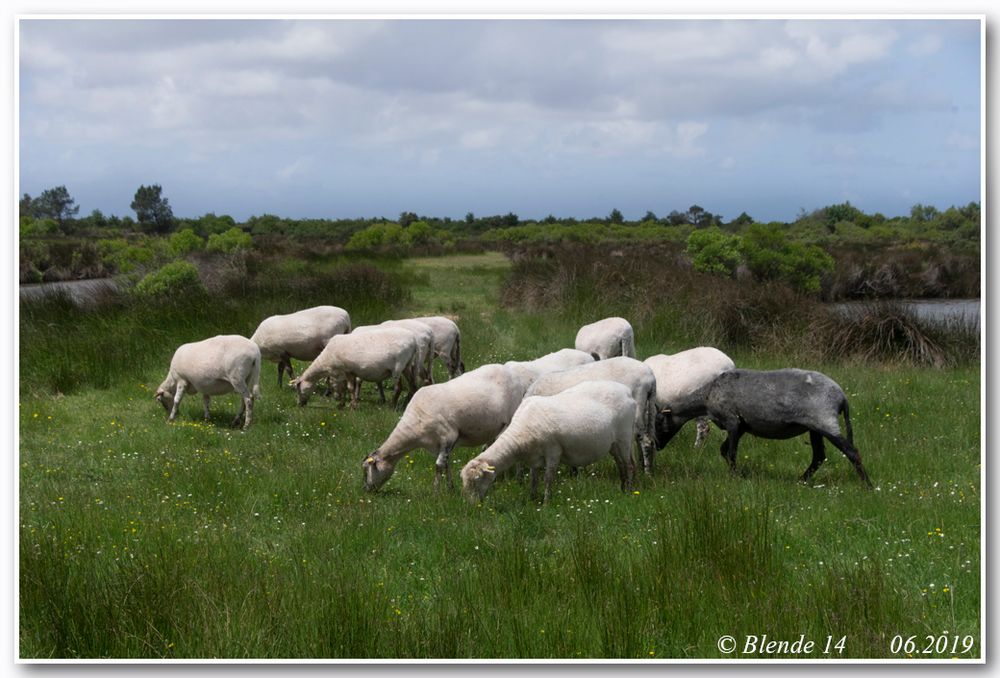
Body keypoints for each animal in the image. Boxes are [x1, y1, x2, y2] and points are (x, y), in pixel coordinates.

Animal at [364, 366, 528, 494]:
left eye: (366, 470)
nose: (366, 490)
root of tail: (513, 376)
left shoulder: (448, 436)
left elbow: (438, 466)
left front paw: (436, 492)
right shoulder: (441, 444)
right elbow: (446, 464)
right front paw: (450, 488)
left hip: (511, 419)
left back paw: (517, 478)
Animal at [458, 382, 632, 504]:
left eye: (477, 480)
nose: (472, 506)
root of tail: (626, 391)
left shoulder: (553, 451)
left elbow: (548, 478)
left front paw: (547, 503)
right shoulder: (534, 457)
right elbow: (534, 479)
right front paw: (532, 499)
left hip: (624, 437)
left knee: (629, 464)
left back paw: (630, 490)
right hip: (614, 443)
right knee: (620, 464)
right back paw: (623, 488)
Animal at [528, 358, 660, 476]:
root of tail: (651, 377)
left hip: (636, 408)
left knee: (645, 441)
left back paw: (647, 473)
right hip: (647, 409)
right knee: (647, 440)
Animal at [688, 366, 868, 488]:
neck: (706, 396)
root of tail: (842, 397)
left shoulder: (732, 421)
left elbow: (730, 453)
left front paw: (735, 478)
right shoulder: (741, 426)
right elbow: (724, 450)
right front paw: (739, 475)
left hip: (825, 420)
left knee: (852, 452)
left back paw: (868, 486)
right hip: (815, 427)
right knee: (819, 456)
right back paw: (800, 481)